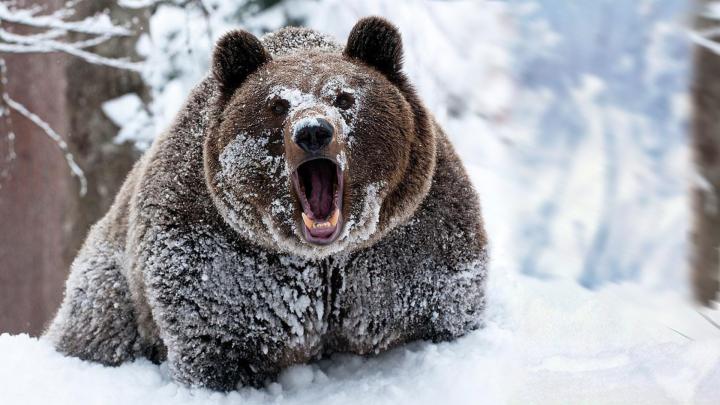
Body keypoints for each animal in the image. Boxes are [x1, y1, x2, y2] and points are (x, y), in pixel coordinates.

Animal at [44, 17, 489, 391]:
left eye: (344, 97)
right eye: (277, 104)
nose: (313, 131)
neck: (322, 258)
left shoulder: (406, 241)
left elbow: (437, 306)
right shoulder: (222, 255)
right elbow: (218, 338)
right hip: (111, 281)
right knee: (98, 326)